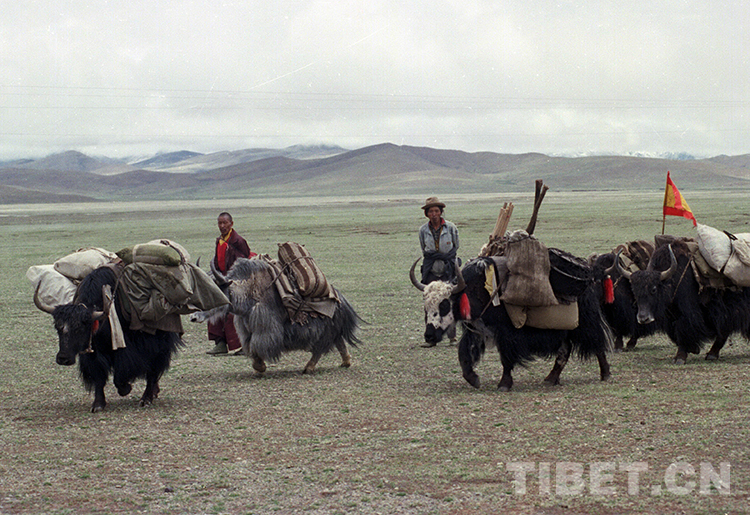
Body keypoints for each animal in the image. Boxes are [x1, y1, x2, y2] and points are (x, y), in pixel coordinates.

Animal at [34, 265, 183, 412]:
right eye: (57, 327)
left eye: (80, 329)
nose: (63, 359)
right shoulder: (93, 352)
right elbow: (98, 376)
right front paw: (98, 404)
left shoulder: (126, 348)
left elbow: (120, 374)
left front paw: (126, 389)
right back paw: (154, 392)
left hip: (159, 343)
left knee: (154, 368)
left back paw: (146, 399)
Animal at [190, 257, 361, 375]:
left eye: (212, 293)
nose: (193, 317)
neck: (248, 293)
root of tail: (340, 299)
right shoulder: (246, 329)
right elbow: (250, 346)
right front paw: (259, 367)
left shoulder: (266, 327)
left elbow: (257, 346)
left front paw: (260, 367)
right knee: (339, 343)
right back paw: (345, 363)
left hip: (324, 329)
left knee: (320, 348)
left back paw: (308, 367)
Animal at [411, 256, 612, 391]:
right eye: (425, 306)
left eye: (445, 304)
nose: (429, 335)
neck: (478, 290)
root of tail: (589, 277)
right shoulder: (477, 330)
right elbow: (464, 355)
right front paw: (473, 379)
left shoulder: (507, 332)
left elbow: (506, 357)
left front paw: (504, 384)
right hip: (562, 329)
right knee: (565, 349)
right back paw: (550, 378)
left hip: (584, 323)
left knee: (596, 343)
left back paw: (605, 374)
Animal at [617, 241, 750, 364]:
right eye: (634, 290)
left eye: (654, 289)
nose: (643, 318)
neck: (672, 281)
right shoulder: (671, 317)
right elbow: (677, 334)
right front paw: (693, 349)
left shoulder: (688, 314)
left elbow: (683, 331)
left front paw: (680, 357)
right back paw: (712, 354)